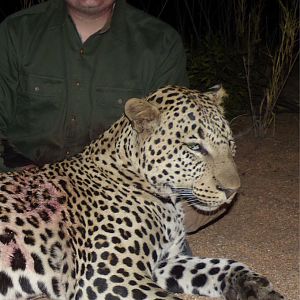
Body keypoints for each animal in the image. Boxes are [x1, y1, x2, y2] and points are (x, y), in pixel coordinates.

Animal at [0, 85, 284, 298]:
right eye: (194, 146)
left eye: (230, 143)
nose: (232, 190)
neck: (168, 199)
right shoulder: (106, 274)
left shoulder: (165, 261)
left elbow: (217, 265)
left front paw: (254, 285)